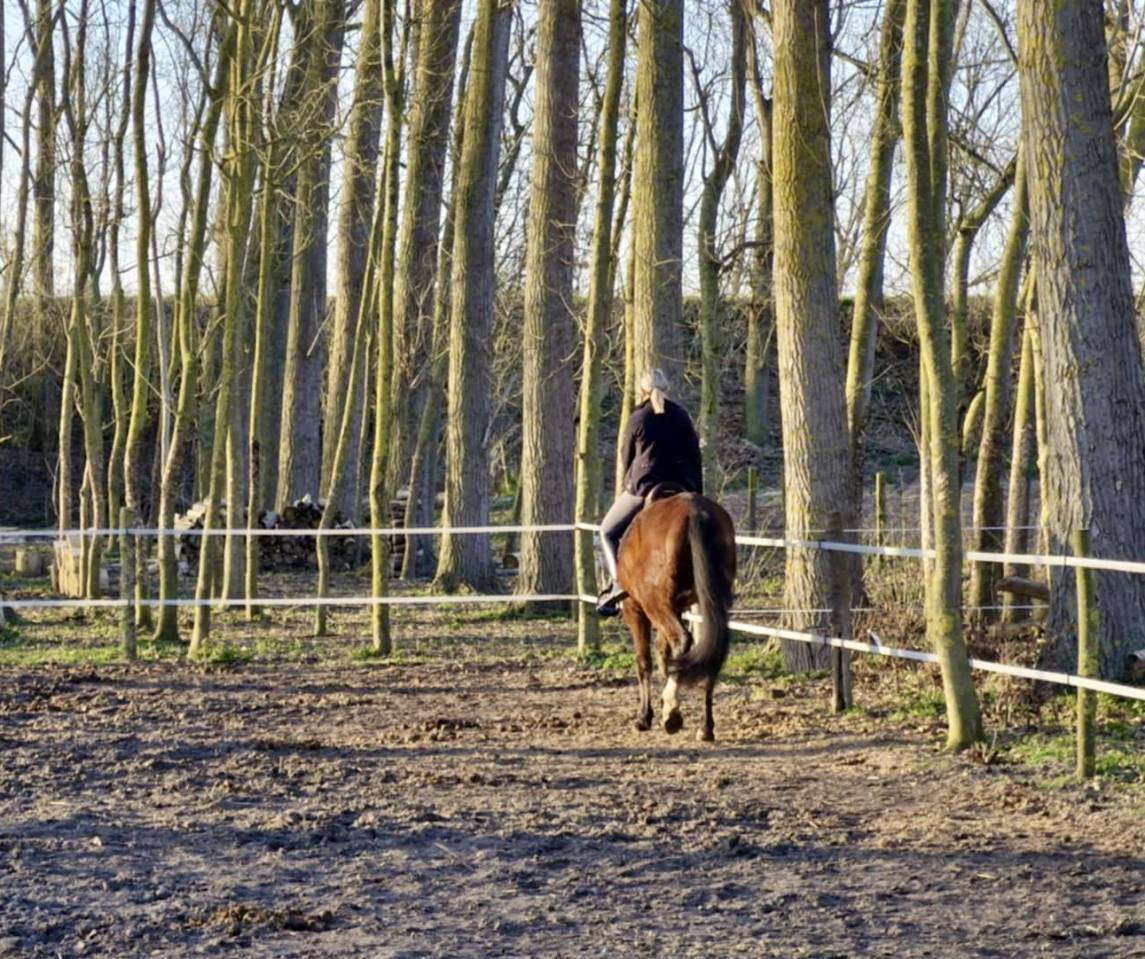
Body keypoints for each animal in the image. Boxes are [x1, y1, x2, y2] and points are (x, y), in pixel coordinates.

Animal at [616, 488, 736, 741]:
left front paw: (645, 717)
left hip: (655, 605)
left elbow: (644, 661)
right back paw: (705, 728)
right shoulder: (678, 607)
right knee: (711, 650)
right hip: (706, 603)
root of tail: (695, 512)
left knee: (682, 640)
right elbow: (663, 653)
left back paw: (671, 712)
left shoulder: (635, 609)